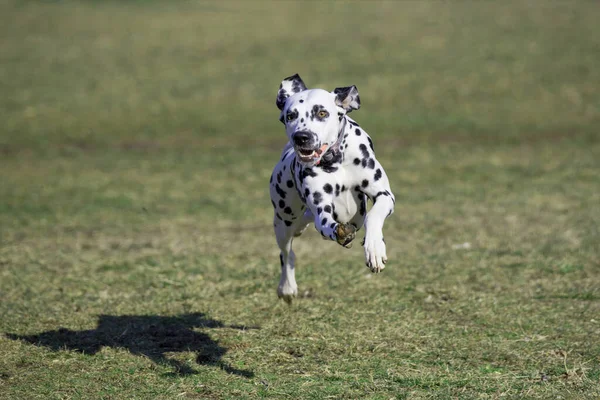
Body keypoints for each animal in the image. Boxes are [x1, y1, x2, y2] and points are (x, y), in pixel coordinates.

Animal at [268, 73, 394, 302]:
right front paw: (342, 233)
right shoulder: (321, 210)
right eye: (290, 116)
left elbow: (374, 216)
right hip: (283, 221)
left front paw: (374, 249)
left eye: (322, 113)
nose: (302, 137)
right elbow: (326, 223)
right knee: (287, 252)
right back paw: (287, 287)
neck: (335, 161)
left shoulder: (384, 195)